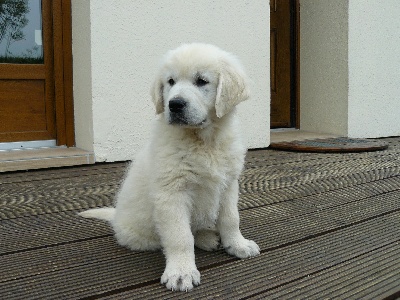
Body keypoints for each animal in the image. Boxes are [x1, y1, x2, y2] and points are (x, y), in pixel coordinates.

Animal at [81, 43, 260, 292]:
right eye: (171, 82)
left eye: (201, 81)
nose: (174, 104)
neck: (203, 141)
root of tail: (116, 217)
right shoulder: (172, 193)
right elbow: (180, 236)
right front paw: (181, 272)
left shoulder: (228, 184)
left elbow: (231, 218)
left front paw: (238, 244)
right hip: (141, 235)